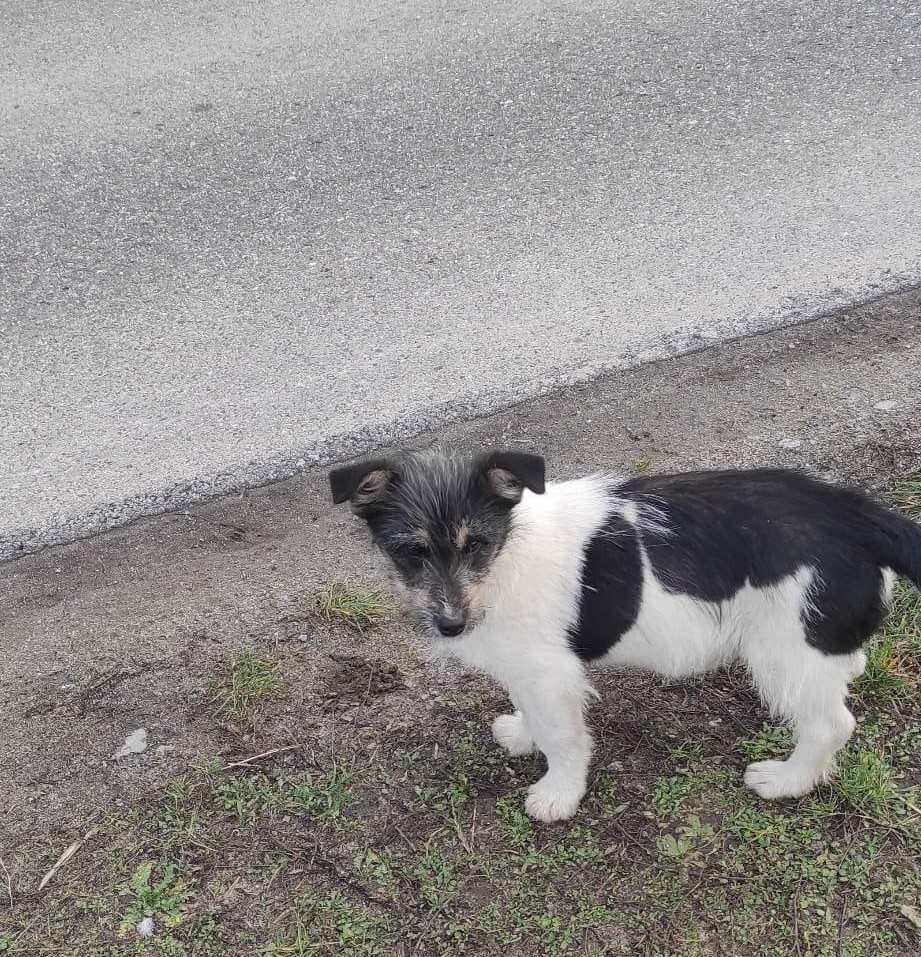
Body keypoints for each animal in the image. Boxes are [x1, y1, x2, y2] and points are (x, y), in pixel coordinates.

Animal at [330, 450, 921, 822]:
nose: (450, 625)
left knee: (830, 725)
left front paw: (559, 795)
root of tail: (855, 514)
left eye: (474, 544)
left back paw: (787, 780)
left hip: (783, 651)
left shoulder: (551, 675)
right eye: (411, 552)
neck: (508, 551)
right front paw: (521, 734)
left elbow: (563, 738)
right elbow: (533, 716)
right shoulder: (526, 669)